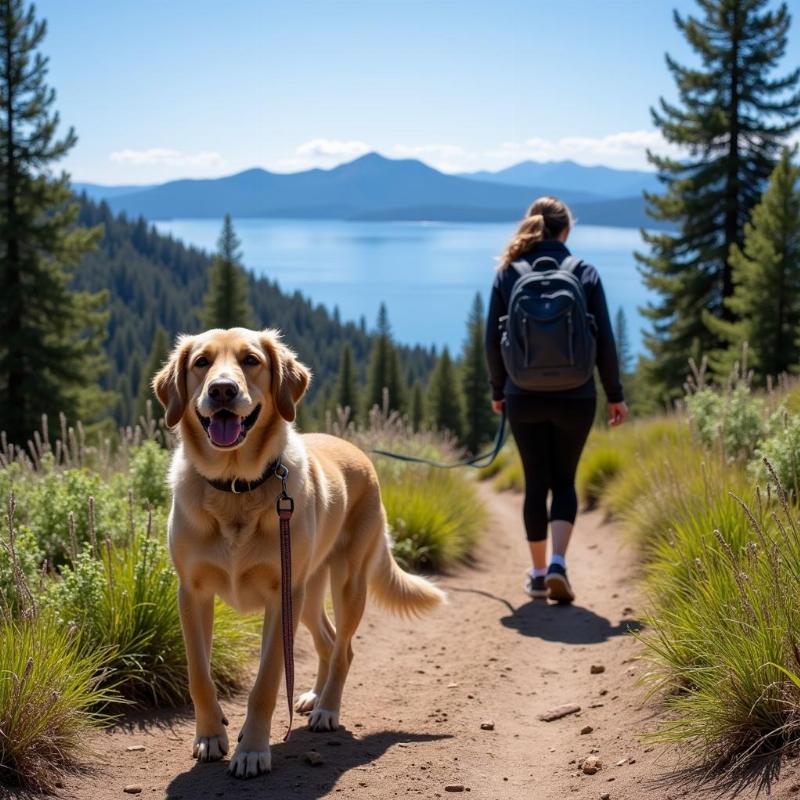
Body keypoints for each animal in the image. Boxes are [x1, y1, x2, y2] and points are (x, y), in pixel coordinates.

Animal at [153, 326, 446, 780]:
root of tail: (358, 451)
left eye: (251, 360)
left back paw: (327, 709)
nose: (222, 390)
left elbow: (267, 682)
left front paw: (252, 750)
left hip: (345, 584)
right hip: (308, 593)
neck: (236, 486)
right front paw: (210, 736)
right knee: (327, 640)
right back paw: (313, 696)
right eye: (201, 362)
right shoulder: (193, 594)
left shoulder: (281, 598)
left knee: (344, 648)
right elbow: (199, 674)